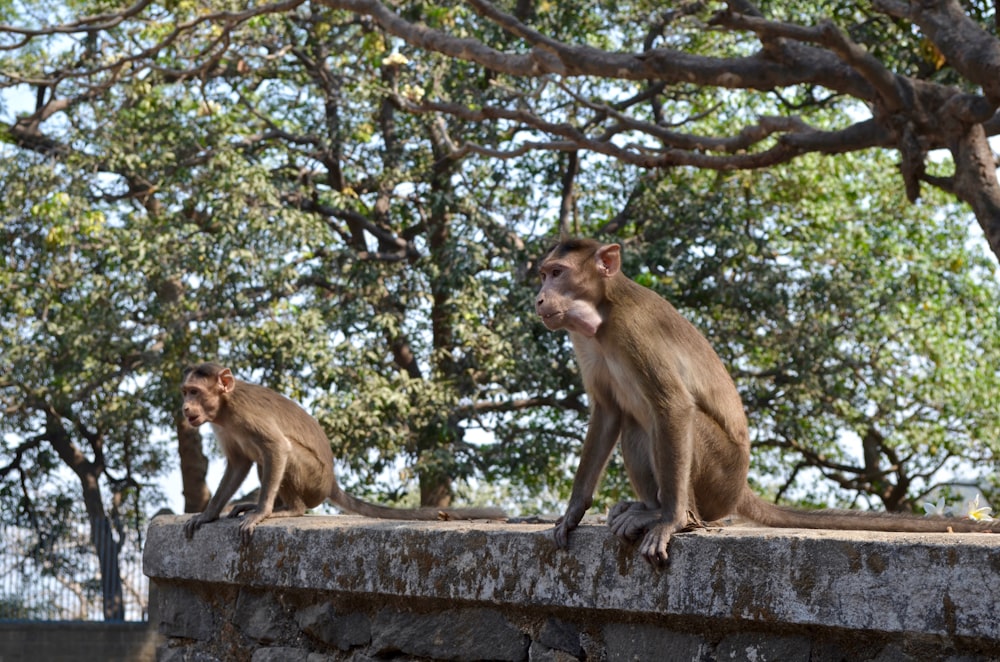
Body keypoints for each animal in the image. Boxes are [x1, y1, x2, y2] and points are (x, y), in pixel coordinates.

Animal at [181, 364, 508, 544]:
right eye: (186, 391)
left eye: (195, 392)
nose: (184, 408)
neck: (225, 407)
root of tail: (331, 483)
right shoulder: (222, 425)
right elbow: (238, 463)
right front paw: (208, 514)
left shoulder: (246, 414)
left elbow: (277, 447)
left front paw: (261, 513)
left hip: (313, 480)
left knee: (283, 453)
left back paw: (289, 508)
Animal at [540, 241, 1000, 568]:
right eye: (544, 274)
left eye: (558, 274)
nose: (540, 299)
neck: (602, 315)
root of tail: (740, 486)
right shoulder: (583, 341)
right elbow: (607, 413)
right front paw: (573, 513)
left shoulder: (634, 331)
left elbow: (674, 407)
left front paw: (669, 521)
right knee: (636, 422)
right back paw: (647, 508)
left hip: (720, 477)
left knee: (660, 420)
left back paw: (674, 515)